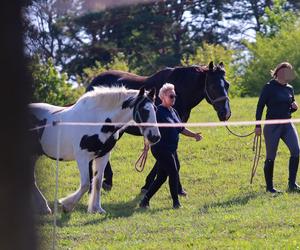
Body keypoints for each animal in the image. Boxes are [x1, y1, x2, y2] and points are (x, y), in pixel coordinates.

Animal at [30, 86, 161, 213]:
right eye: (144, 110)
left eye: (155, 109)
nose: (155, 136)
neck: (96, 121)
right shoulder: (82, 157)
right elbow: (86, 184)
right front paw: (67, 205)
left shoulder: (103, 156)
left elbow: (97, 182)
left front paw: (97, 209)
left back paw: (44, 208)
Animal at [85, 61, 231, 190]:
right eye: (213, 86)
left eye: (227, 85)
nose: (226, 113)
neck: (179, 91)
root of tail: (93, 83)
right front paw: (147, 185)